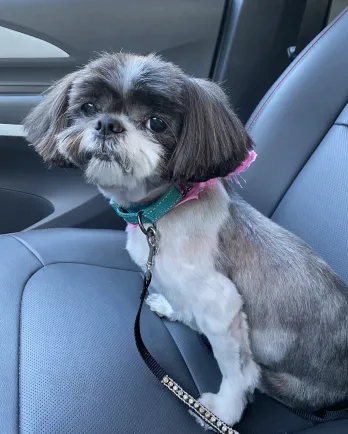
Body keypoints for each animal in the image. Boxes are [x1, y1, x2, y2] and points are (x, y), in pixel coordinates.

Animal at [24, 53, 348, 428]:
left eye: (157, 123)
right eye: (88, 107)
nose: (107, 124)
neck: (164, 211)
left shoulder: (222, 304)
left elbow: (238, 372)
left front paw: (221, 411)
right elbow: (179, 300)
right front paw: (172, 309)